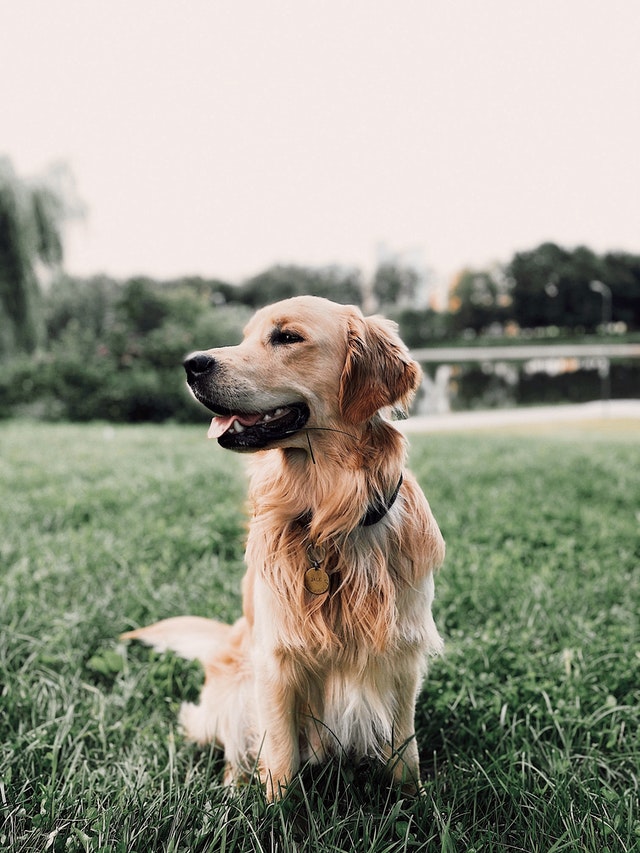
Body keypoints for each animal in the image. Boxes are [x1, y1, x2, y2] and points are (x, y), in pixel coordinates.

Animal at [121, 294, 444, 800]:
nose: (192, 364)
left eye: (287, 337)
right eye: (245, 337)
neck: (329, 517)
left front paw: (413, 804)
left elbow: (404, 753)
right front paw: (276, 809)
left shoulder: (402, 656)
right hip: (235, 687)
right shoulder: (275, 661)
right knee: (233, 746)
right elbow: (281, 762)